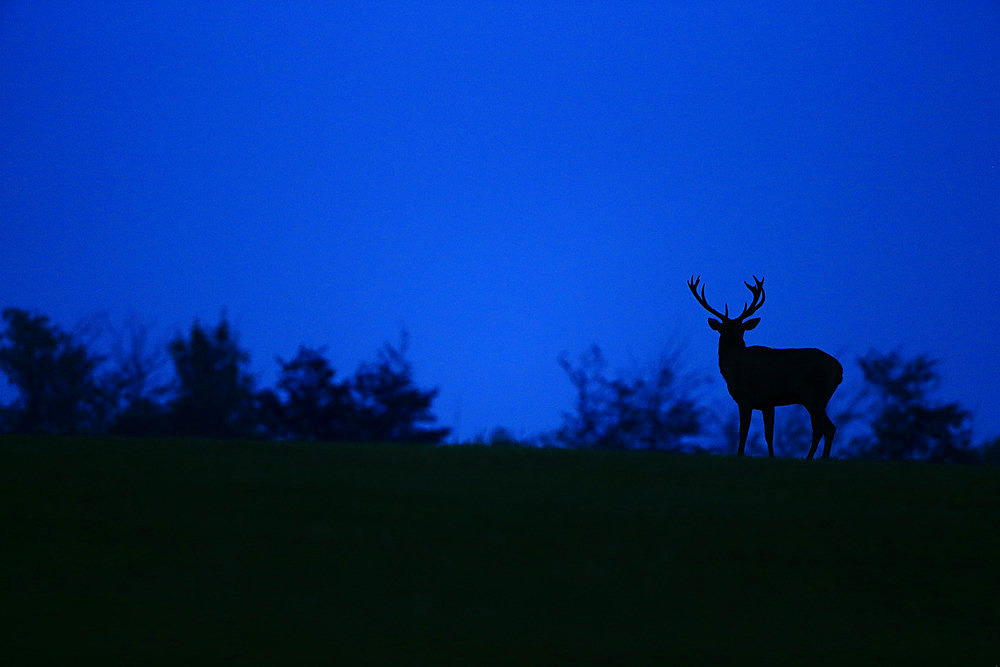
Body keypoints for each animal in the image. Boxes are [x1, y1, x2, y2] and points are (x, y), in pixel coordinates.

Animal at [688, 276, 844, 460]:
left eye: (740, 330)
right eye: (724, 329)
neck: (731, 367)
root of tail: (839, 370)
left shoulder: (745, 399)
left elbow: (743, 432)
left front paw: (739, 455)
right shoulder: (768, 403)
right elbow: (769, 435)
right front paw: (771, 457)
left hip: (812, 394)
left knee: (828, 427)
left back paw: (821, 459)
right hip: (820, 399)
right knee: (818, 428)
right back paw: (809, 459)